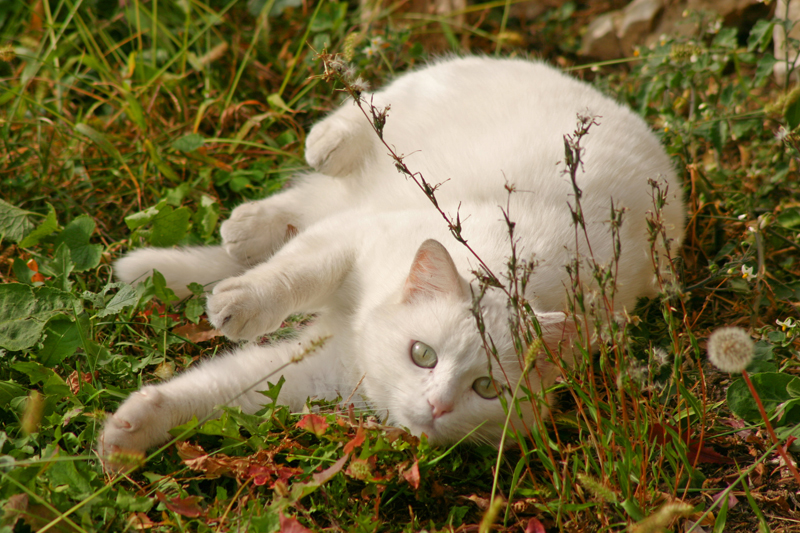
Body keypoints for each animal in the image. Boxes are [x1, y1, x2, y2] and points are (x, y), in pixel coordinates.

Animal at [97, 56, 684, 460]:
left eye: (486, 389)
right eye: (422, 354)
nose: (438, 405)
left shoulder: (312, 375)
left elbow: (214, 390)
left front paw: (129, 432)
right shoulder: (355, 239)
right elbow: (294, 273)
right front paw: (240, 306)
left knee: (298, 212)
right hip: (431, 98)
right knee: (370, 111)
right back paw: (289, 184)